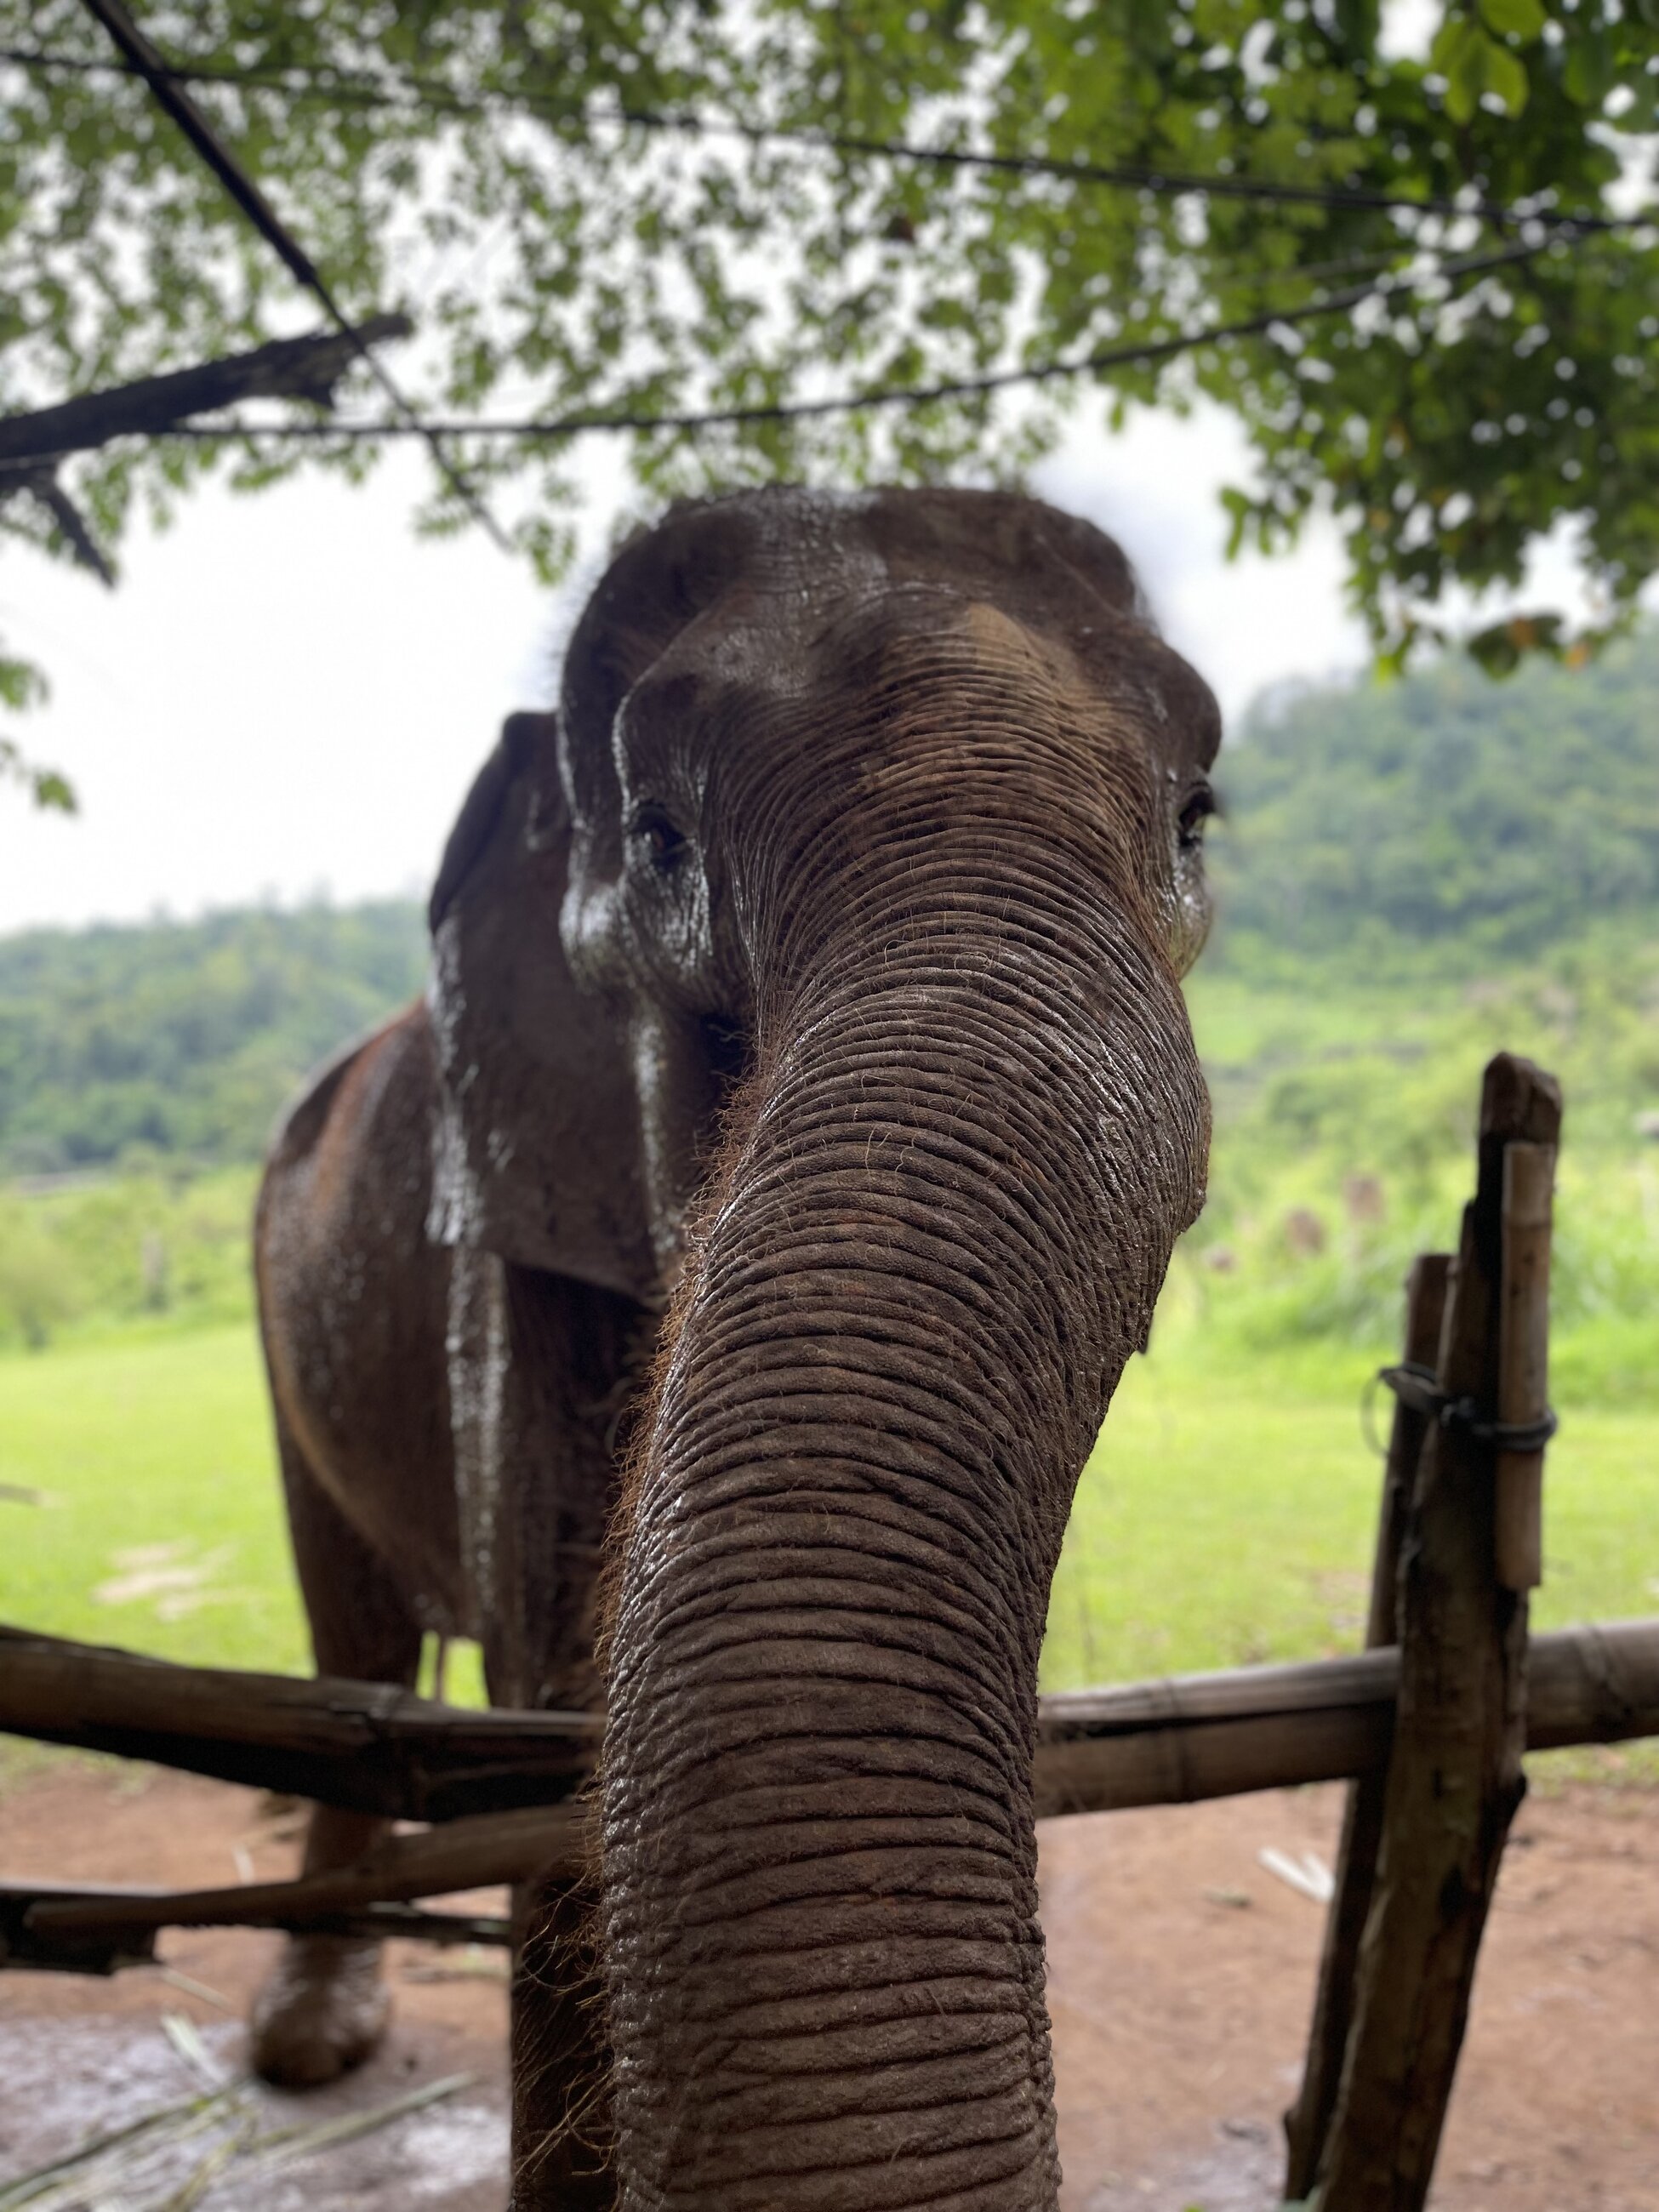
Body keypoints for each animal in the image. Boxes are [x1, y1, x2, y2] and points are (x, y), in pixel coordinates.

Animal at [251, 484, 1220, 2211]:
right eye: (655, 834)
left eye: (1199, 814)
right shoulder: (504, 1255)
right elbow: (548, 1704)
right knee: (351, 1637)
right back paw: (309, 2044)